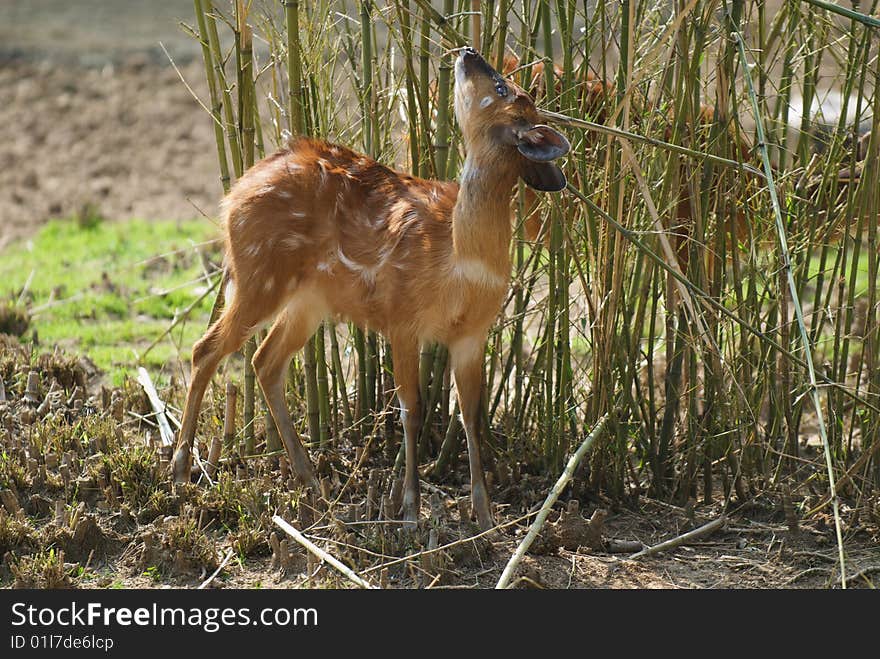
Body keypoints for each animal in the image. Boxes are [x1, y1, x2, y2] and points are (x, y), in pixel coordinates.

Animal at [172, 47, 572, 532]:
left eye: (501, 87)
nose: (468, 51)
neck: (461, 263)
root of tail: (236, 191)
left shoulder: (472, 335)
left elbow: (471, 417)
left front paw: (485, 516)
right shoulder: (403, 319)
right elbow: (412, 409)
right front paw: (412, 511)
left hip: (308, 299)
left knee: (264, 360)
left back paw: (311, 481)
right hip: (259, 277)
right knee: (207, 348)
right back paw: (180, 470)